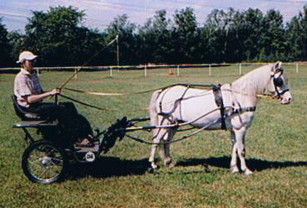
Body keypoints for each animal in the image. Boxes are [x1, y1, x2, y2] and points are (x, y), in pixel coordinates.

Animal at [149, 61, 294, 174]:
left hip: (173, 124)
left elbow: (234, 148)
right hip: (165, 123)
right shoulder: (241, 129)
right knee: (156, 139)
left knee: (166, 141)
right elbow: (241, 150)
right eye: (279, 81)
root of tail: (164, 91)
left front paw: (234, 168)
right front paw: (246, 170)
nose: (288, 99)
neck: (239, 96)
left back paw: (168, 162)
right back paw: (153, 164)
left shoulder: (234, 129)